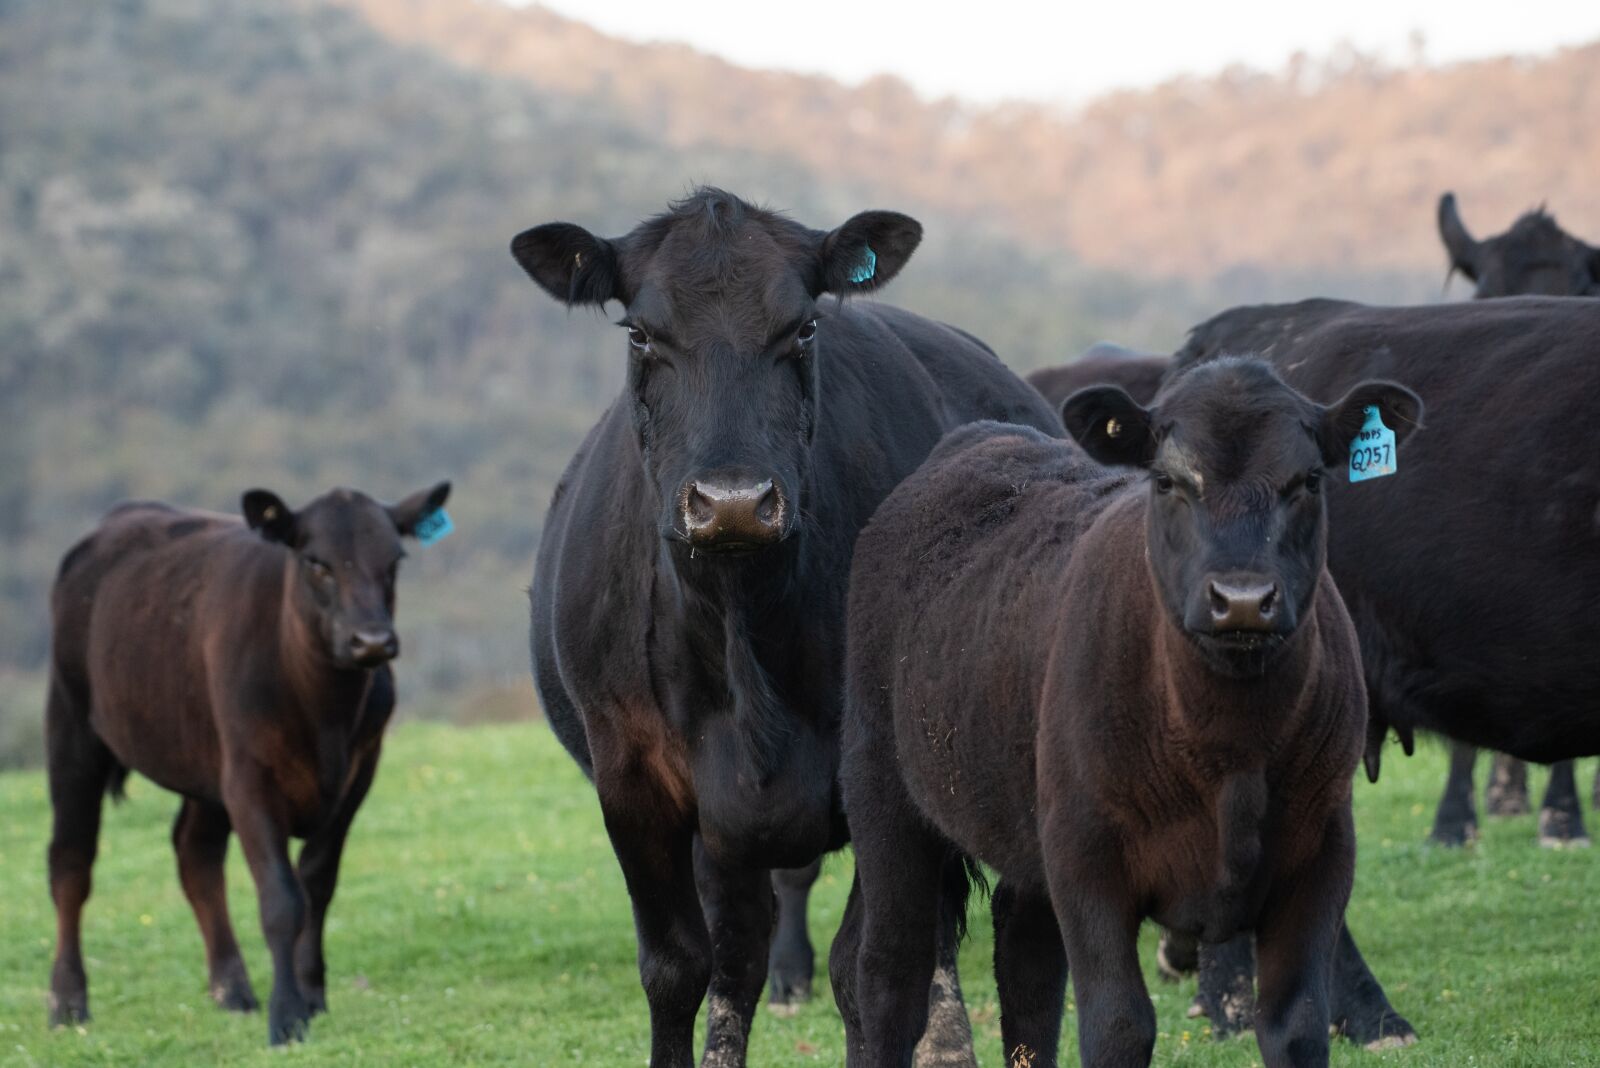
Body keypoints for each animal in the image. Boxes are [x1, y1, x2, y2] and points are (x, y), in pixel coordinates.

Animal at [45, 482, 450, 1045]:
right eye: (316, 561)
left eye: (394, 560)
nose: (371, 641)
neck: (325, 713)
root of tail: (117, 519)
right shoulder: (250, 779)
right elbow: (281, 898)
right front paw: (287, 1016)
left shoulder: (357, 774)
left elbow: (317, 884)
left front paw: (311, 994)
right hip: (72, 727)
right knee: (71, 863)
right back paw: (67, 1002)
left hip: (202, 759)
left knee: (195, 854)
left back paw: (232, 990)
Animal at [514, 188, 1061, 1068]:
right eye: (640, 332)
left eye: (803, 328)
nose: (733, 500)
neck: (743, 630)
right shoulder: (632, 778)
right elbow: (679, 966)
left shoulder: (879, 777)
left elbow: (866, 971)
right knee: (740, 952)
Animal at [833, 357, 1421, 1068]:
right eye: (1168, 480)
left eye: (1308, 480)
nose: (1242, 599)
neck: (1232, 751)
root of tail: (977, 439)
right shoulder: (1087, 857)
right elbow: (1118, 1025)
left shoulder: (1322, 853)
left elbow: (1297, 1022)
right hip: (881, 791)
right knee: (889, 971)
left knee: (1027, 966)